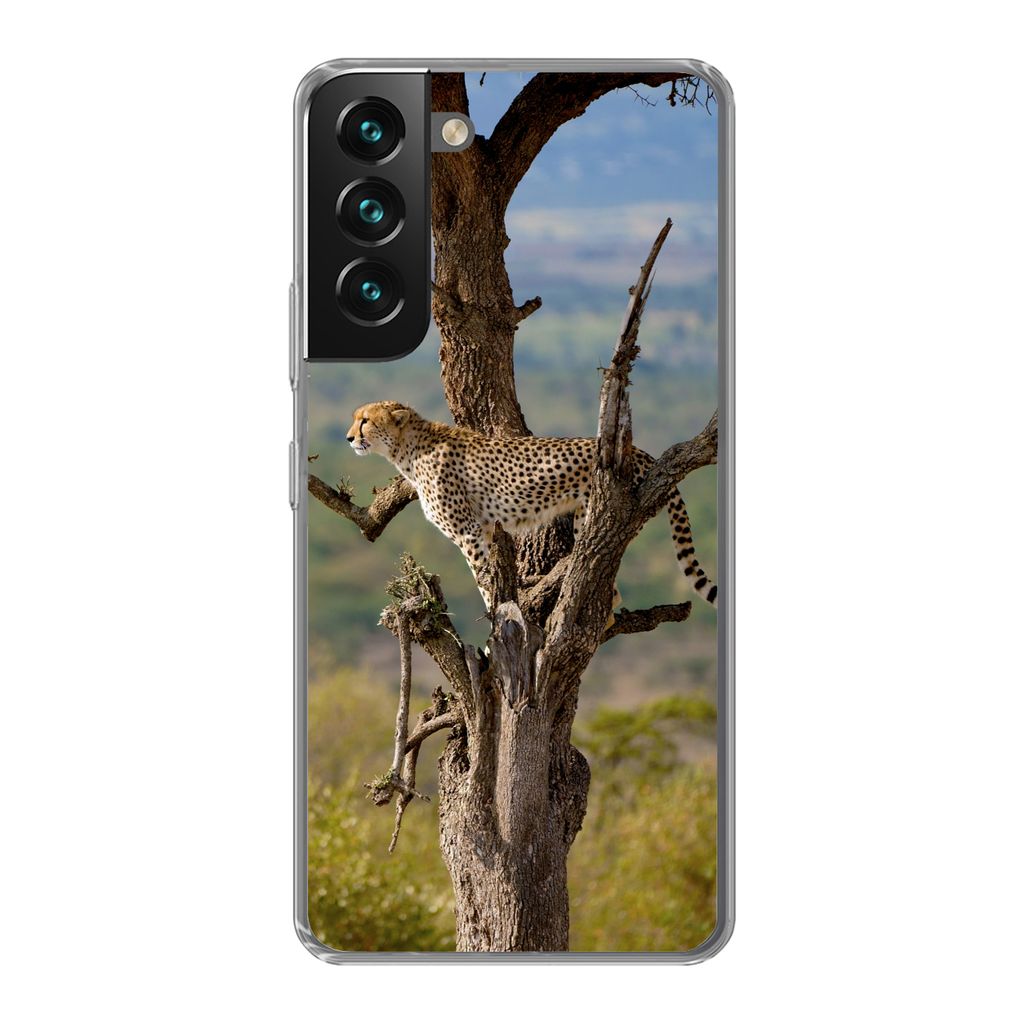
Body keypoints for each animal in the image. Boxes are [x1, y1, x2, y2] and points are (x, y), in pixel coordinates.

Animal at [346, 400, 718, 617]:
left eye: (365, 421)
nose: (349, 438)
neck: (407, 449)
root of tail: (642, 452)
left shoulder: (468, 531)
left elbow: (483, 579)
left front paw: (496, 622)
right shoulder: (485, 528)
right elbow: (489, 574)